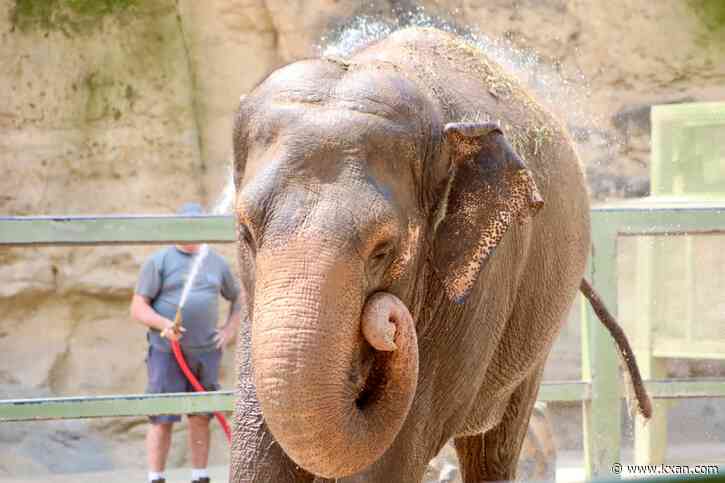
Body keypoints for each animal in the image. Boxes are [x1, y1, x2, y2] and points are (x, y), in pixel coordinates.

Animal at [230, 27, 650, 482]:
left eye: (383, 250)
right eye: (246, 233)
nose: (388, 319)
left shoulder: (479, 286)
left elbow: (392, 456)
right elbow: (258, 453)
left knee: (496, 445)